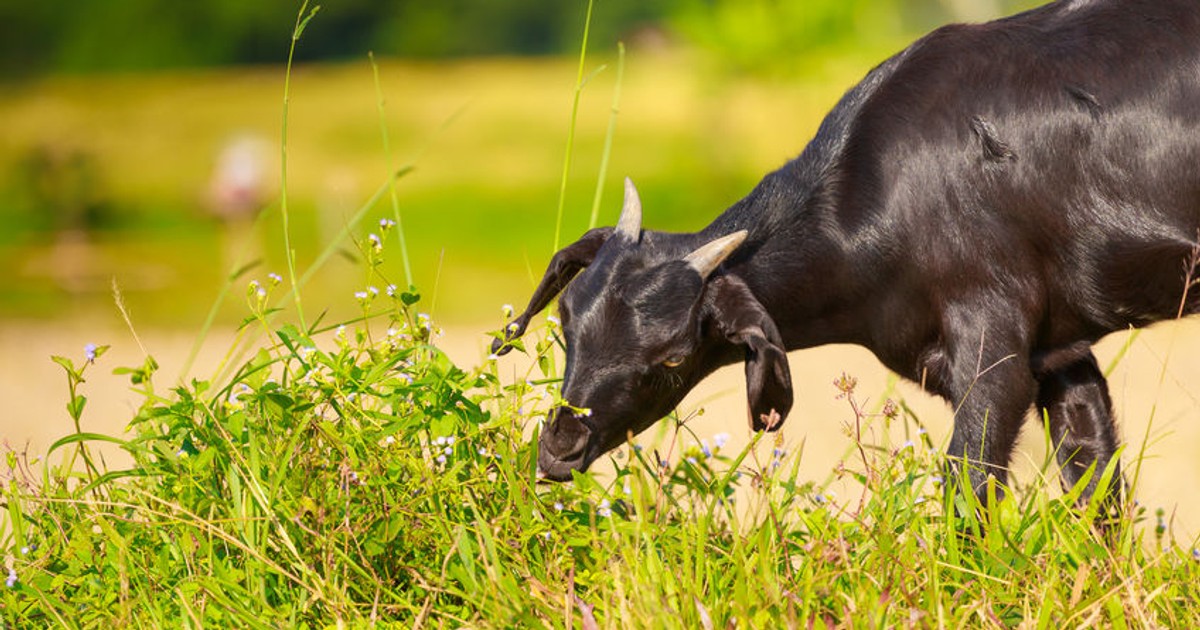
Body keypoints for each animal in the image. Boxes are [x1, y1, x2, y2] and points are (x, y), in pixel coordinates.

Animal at [492, 0, 1200, 508]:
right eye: (566, 327)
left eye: (671, 358)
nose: (558, 449)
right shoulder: (1061, 351)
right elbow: (1093, 478)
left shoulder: (993, 344)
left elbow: (968, 486)